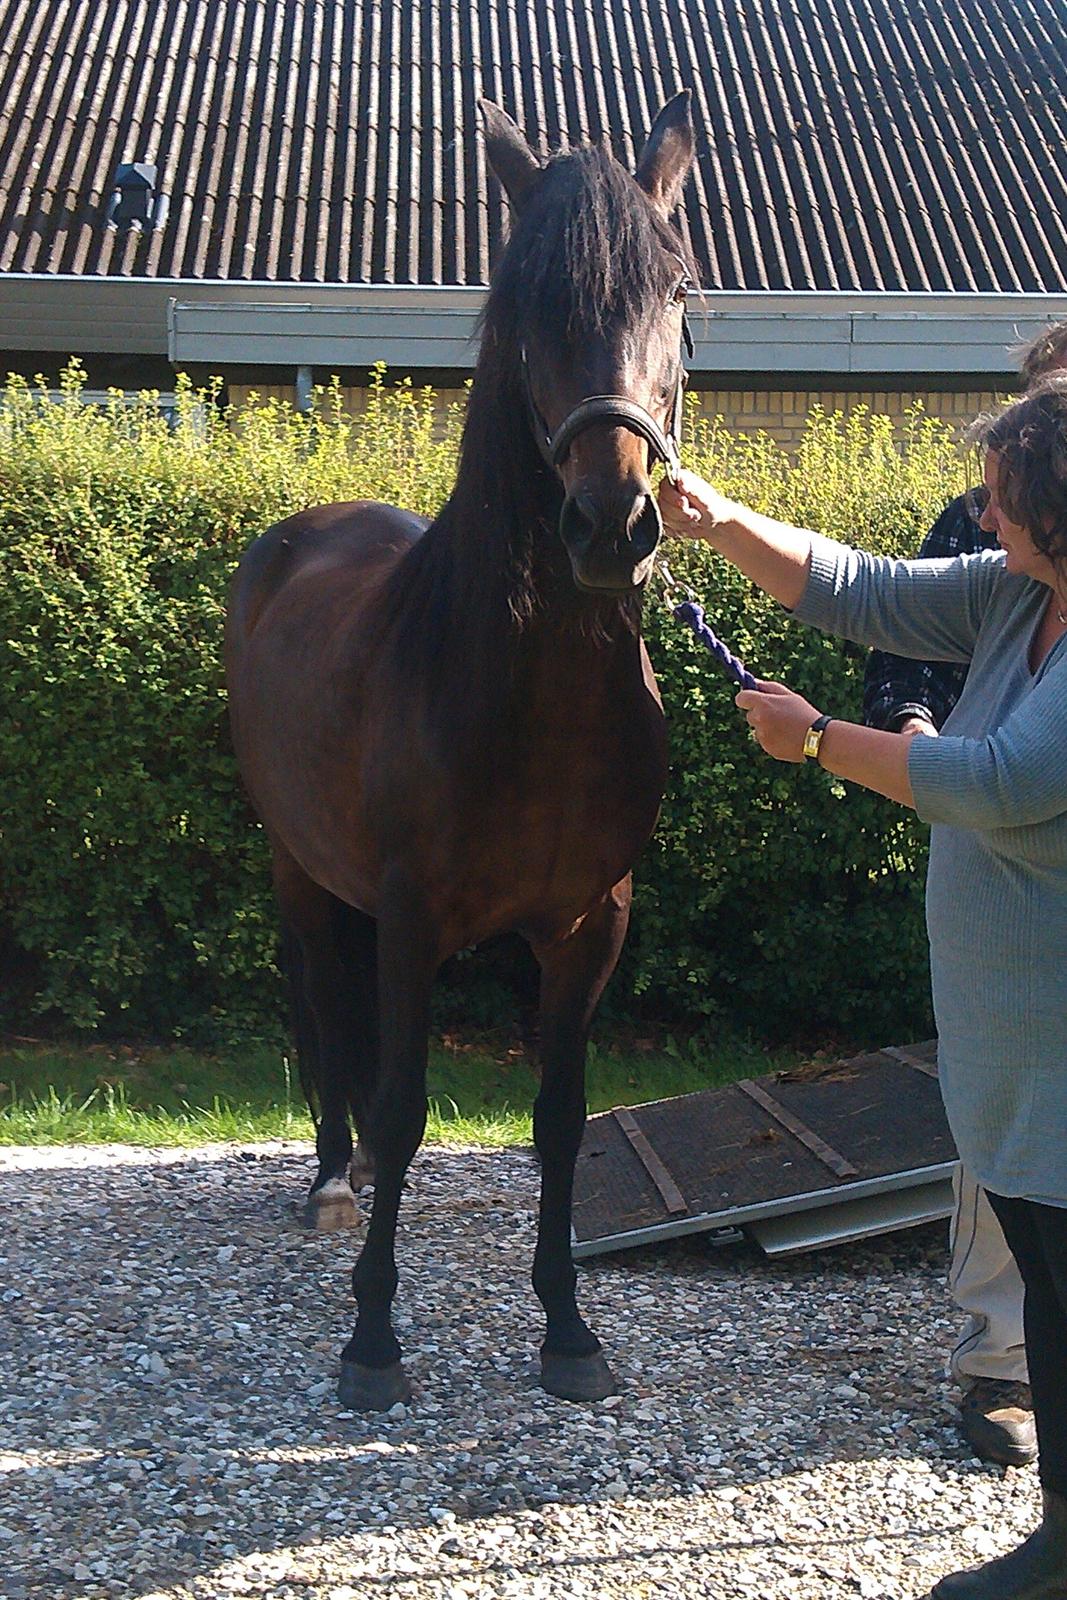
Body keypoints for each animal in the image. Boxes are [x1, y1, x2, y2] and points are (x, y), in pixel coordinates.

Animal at [225, 93, 697, 1408]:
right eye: (525, 298)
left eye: (675, 286)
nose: (610, 525)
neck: (530, 702)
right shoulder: (409, 917)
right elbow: (399, 1106)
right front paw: (371, 1338)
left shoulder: (590, 923)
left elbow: (559, 1117)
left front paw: (568, 1328)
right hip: (300, 868)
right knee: (317, 1007)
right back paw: (329, 1183)